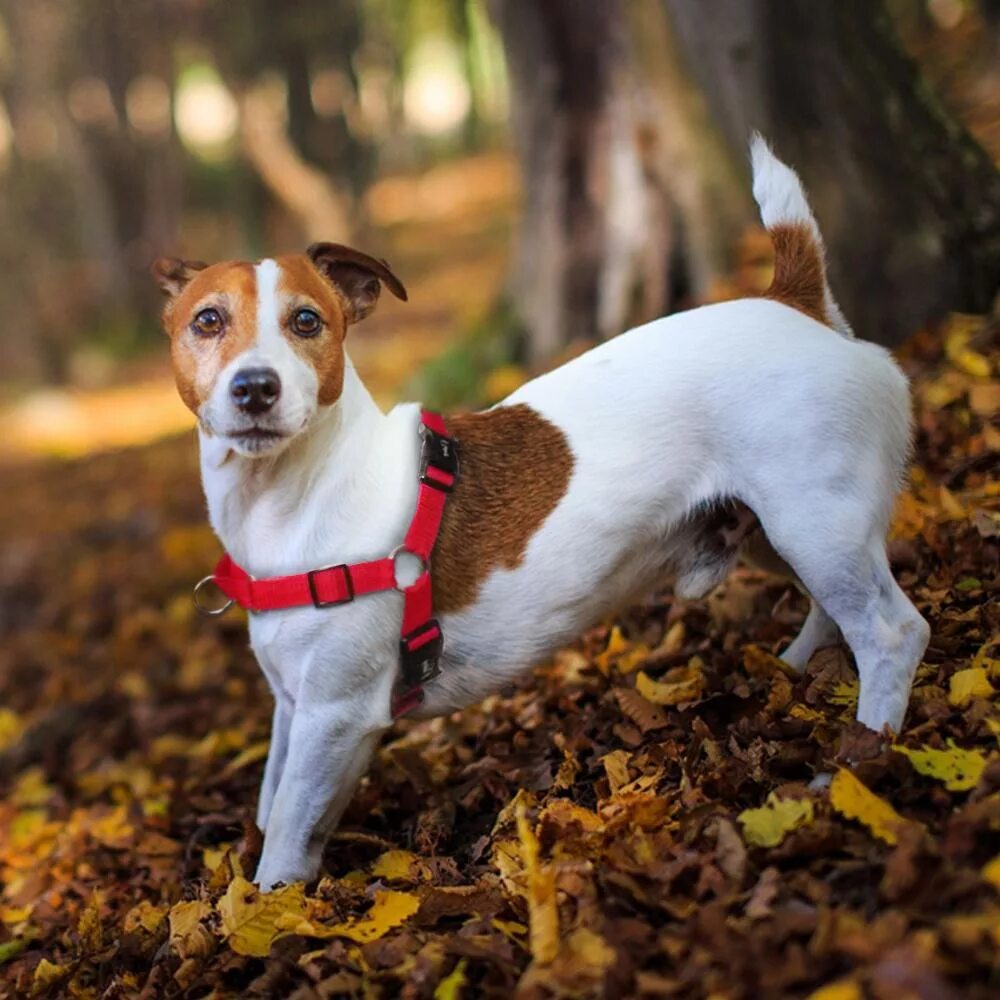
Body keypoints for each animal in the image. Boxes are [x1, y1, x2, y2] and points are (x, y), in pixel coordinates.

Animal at [154, 135, 928, 892]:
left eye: (307, 320)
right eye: (207, 321)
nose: (255, 387)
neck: (296, 493)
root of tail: (794, 303)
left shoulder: (334, 716)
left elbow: (287, 832)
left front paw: (268, 909)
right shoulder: (295, 707)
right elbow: (270, 800)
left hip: (813, 522)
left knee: (891, 632)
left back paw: (858, 760)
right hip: (781, 529)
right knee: (833, 612)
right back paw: (797, 672)